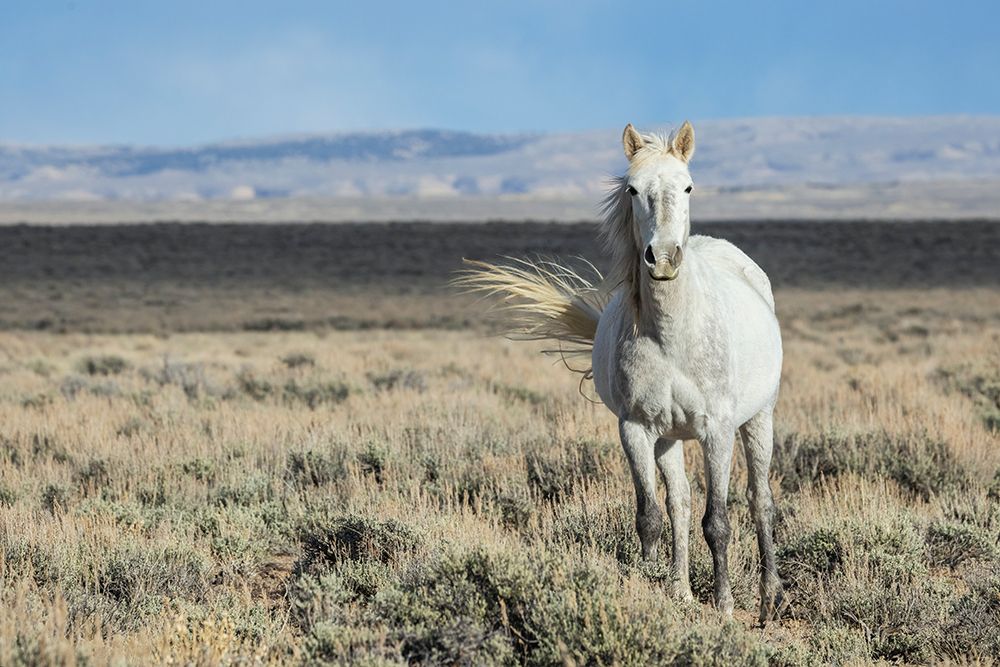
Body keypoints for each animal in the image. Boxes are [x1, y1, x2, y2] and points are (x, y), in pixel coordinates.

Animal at [455, 121, 784, 623]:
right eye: (632, 189)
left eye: (688, 186)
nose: (663, 257)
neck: (672, 334)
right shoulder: (635, 428)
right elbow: (650, 516)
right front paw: (652, 587)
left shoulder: (718, 430)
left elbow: (719, 522)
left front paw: (725, 607)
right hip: (669, 436)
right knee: (679, 502)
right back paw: (681, 589)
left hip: (758, 418)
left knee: (759, 501)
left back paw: (767, 601)